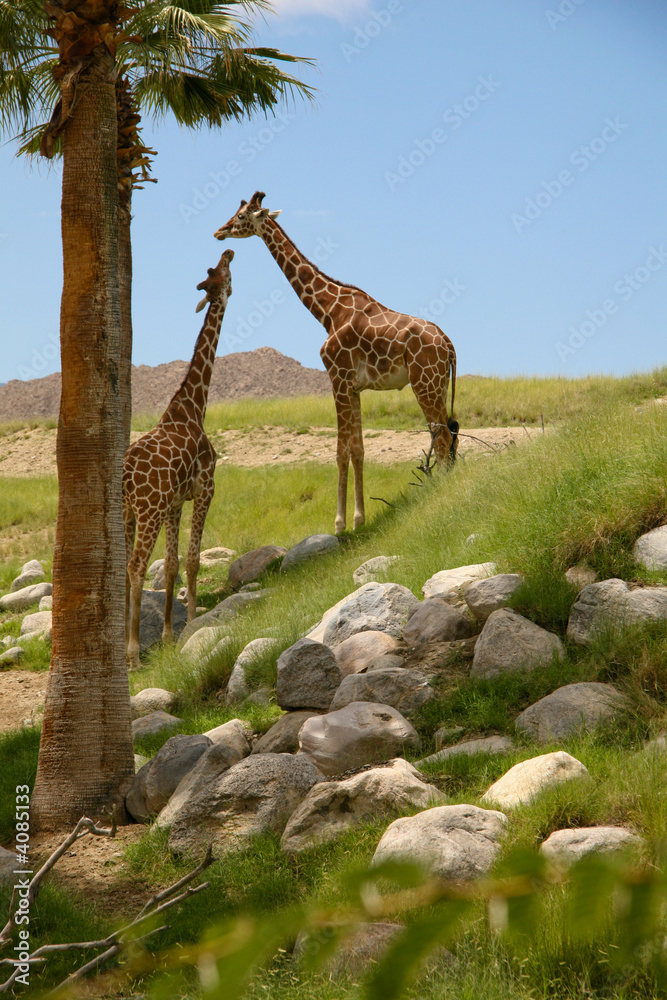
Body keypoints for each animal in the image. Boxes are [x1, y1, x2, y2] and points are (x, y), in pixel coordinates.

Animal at [122, 249, 234, 668]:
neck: (192, 407)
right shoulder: (206, 488)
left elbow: (171, 566)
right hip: (147, 510)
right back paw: (132, 654)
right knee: (136, 565)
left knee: (123, 566)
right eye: (222, 273)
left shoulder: (174, 503)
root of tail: (124, 477)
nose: (229, 251)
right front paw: (191, 625)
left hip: (127, 513)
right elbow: (193, 560)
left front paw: (170, 636)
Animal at [214, 191, 458, 534]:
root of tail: (448, 344)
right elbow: (358, 450)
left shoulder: (337, 378)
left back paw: (441, 492)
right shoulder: (353, 387)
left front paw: (340, 524)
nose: (218, 232)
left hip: (424, 382)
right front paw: (359, 519)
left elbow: (341, 452)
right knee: (448, 435)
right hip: (438, 383)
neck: (327, 310)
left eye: (240, 217)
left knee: (443, 436)